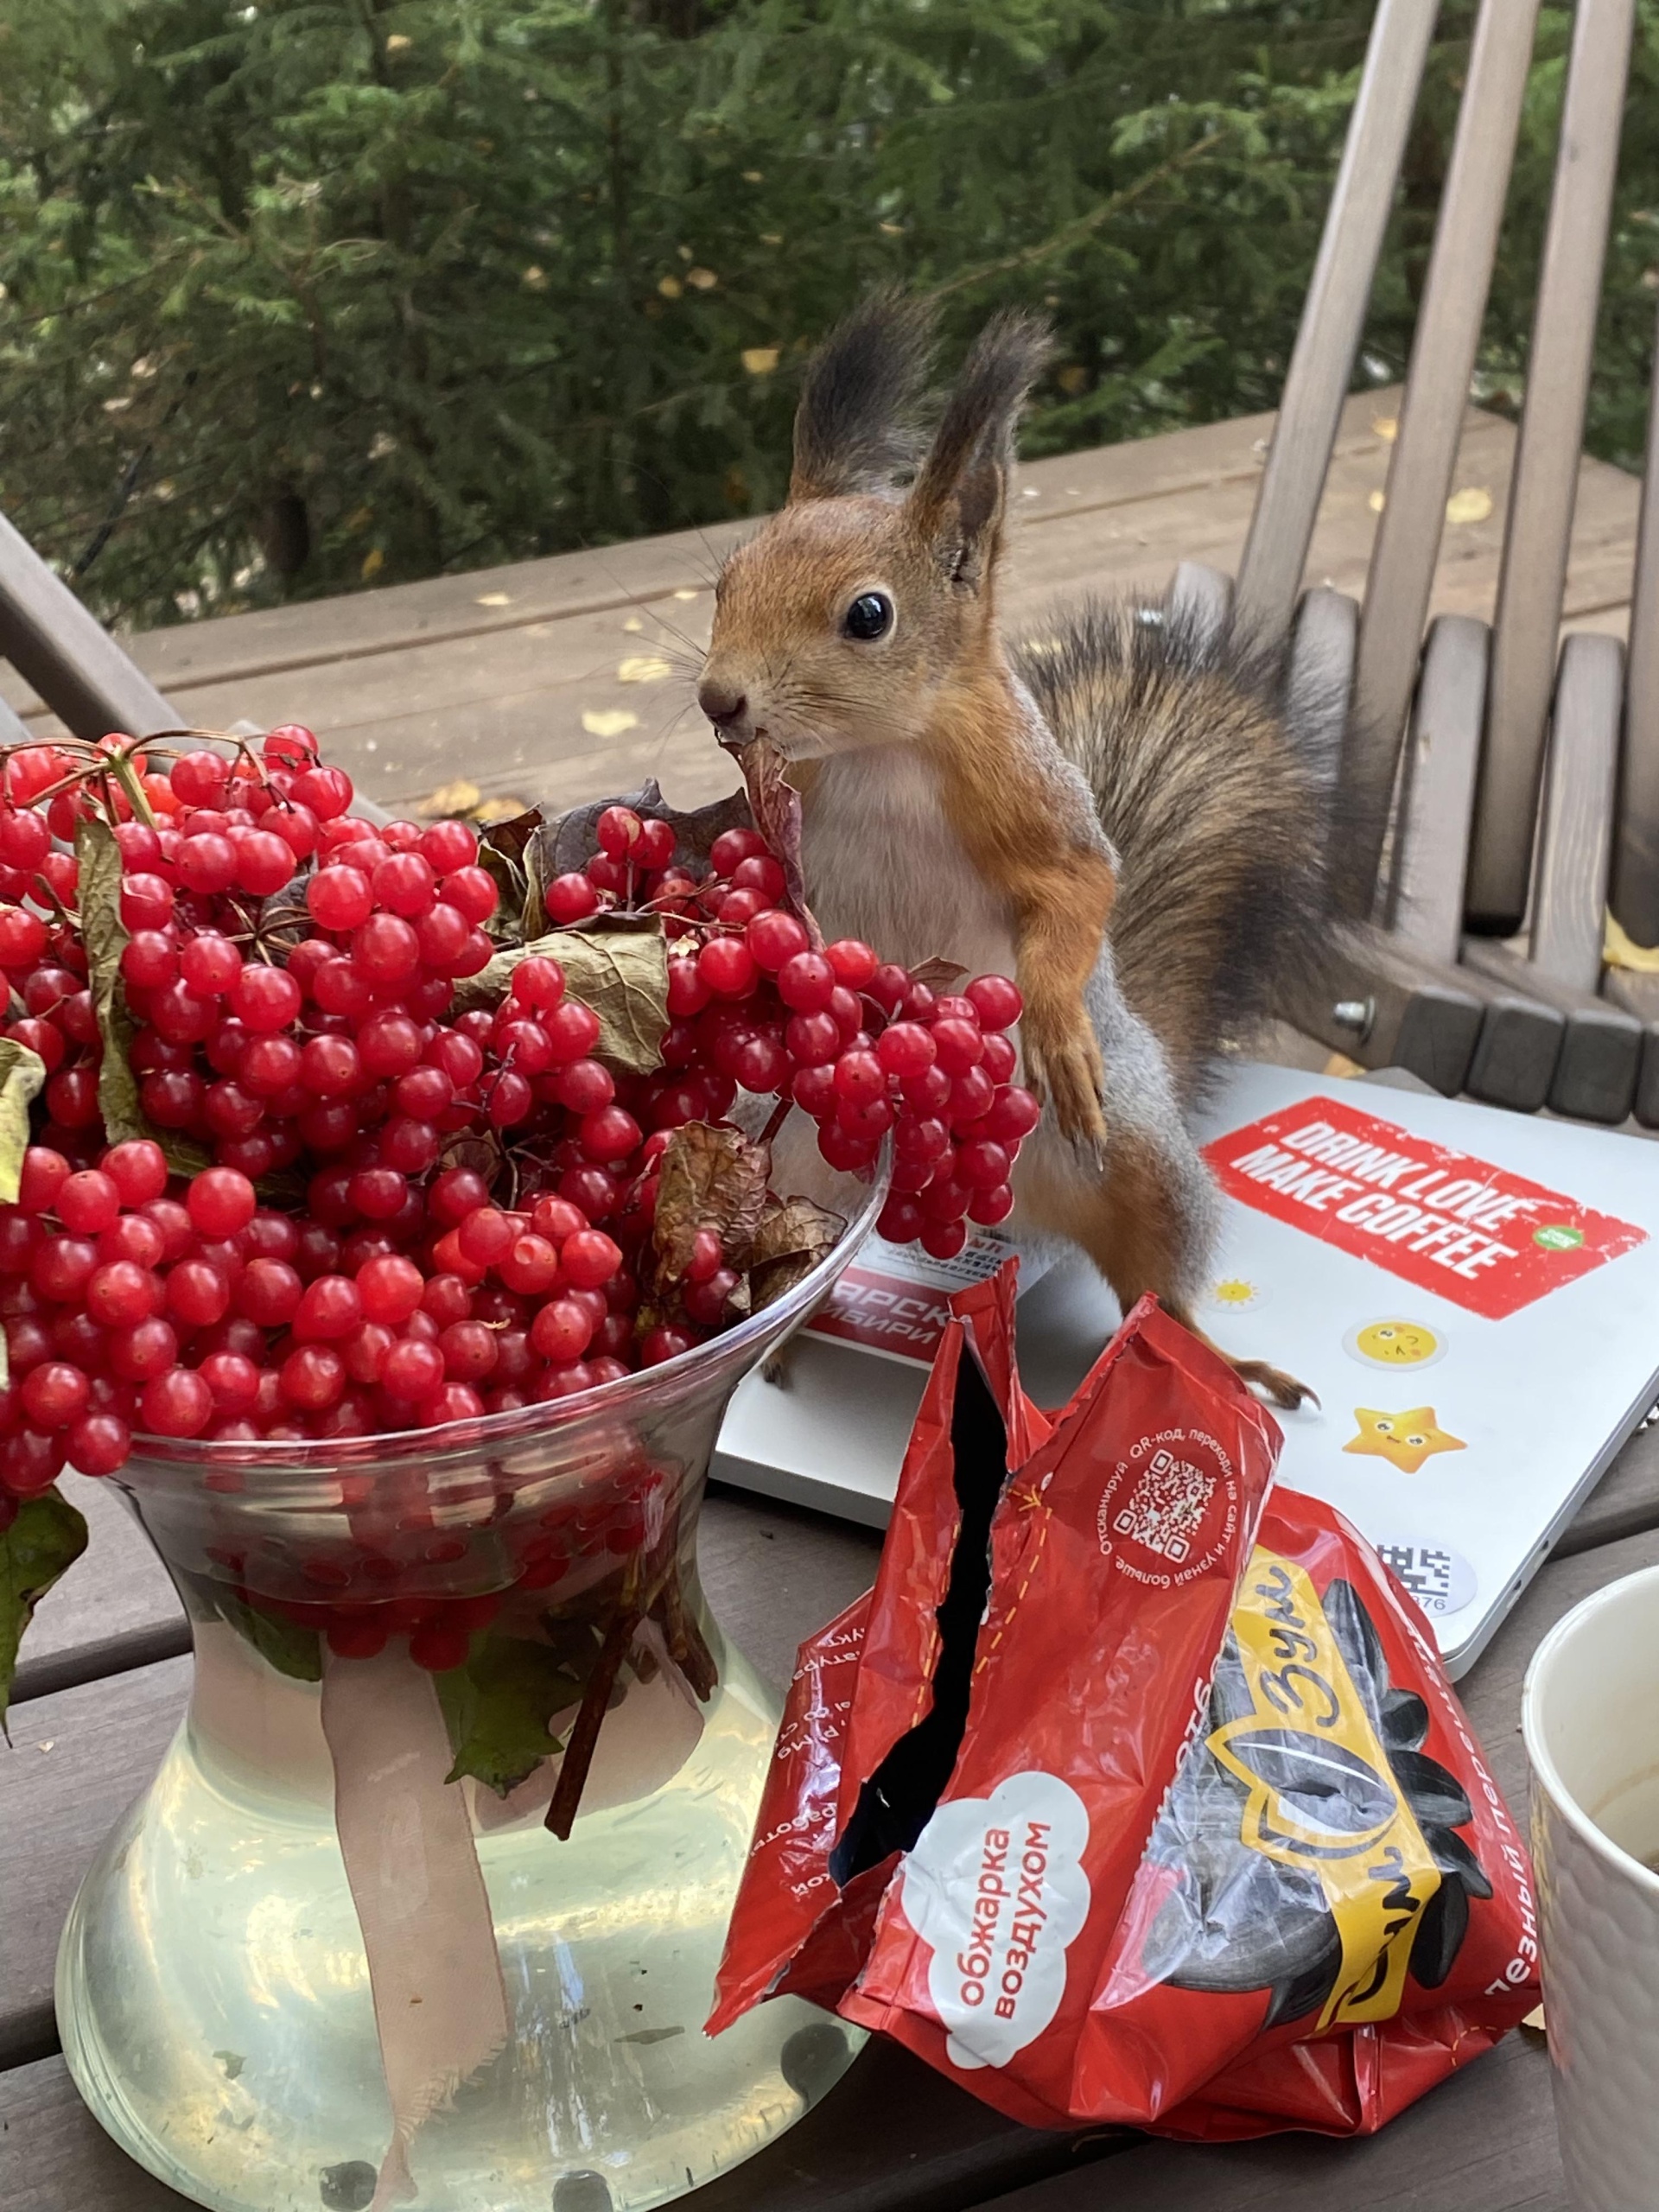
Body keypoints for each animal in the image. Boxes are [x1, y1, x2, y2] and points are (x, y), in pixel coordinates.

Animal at [694, 298, 1344, 1397]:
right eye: (724, 584)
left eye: (869, 614)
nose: (719, 701)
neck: (880, 749)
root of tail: (1013, 1216)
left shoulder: (1032, 800)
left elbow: (1084, 887)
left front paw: (1053, 1023)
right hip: (804, 1161)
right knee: (820, 1255)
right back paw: (780, 1332)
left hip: (1140, 1163)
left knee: (1154, 1283)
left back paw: (1220, 1358)